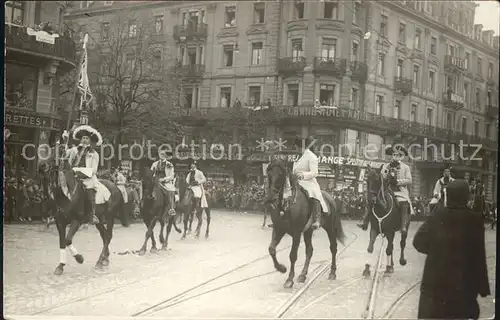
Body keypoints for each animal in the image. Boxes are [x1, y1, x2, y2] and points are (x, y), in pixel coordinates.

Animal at [39, 146, 129, 274]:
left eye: (55, 153)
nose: (41, 165)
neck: (67, 195)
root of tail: (116, 187)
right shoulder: (60, 222)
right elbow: (62, 242)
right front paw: (60, 266)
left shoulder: (77, 221)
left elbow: (67, 240)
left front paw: (79, 258)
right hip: (99, 219)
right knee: (104, 235)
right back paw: (104, 260)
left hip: (110, 217)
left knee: (108, 236)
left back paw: (100, 261)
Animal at [266, 159, 344, 288]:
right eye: (269, 174)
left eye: (280, 174)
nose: (270, 198)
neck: (287, 203)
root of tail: (330, 198)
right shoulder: (279, 229)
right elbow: (271, 249)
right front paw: (281, 268)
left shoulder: (296, 233)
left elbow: (292, 255)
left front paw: (289, 279)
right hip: (308, 231)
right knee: (309, 251)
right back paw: (303, 275)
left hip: (330, 228)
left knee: (333, 248)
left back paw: (332, 273)